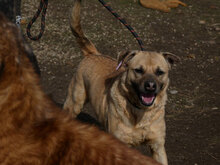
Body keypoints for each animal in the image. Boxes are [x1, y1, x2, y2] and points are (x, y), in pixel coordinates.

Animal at [63, 0, 180, 164]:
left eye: (159, 72)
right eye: (138, 70)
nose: (150, 86)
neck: (140, 112)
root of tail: (93, 54)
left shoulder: (157, 146)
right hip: (74, 102)